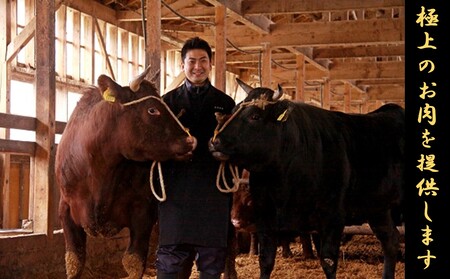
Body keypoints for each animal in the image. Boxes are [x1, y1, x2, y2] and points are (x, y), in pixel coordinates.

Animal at [55, 68, 196, 279]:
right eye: (152, 109)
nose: (190, 141)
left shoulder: (143, 211)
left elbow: (133, 261)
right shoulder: (66, 209)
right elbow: (74, 261)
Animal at [209, 80, 406, 278]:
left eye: (255, 116)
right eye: (234, 110)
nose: (215, 141)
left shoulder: (333, 218)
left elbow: (328, 261)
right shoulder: (265, 216)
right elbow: (265, 261)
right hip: (378, 209)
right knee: (390, 241)